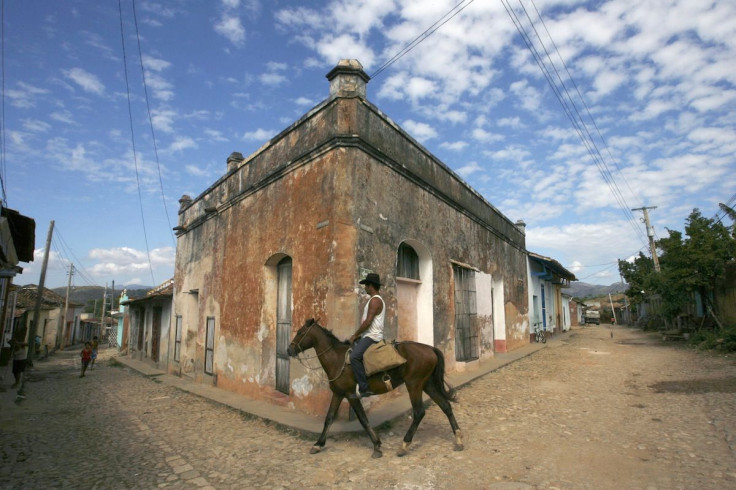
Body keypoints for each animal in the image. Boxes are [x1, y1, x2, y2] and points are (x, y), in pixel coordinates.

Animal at [286, 318, 462, 460]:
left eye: (300, 332)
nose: (289, 350)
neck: (337, 360)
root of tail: (431, 349)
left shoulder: (351, 395)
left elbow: (363, 419)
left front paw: (377, 446)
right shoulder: (338, 394)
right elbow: (329, 418)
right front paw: (318, 444)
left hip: (414, 384)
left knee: (419, 412)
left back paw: (404, 445)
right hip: (427, 384)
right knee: (446, 406)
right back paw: (458, 439)